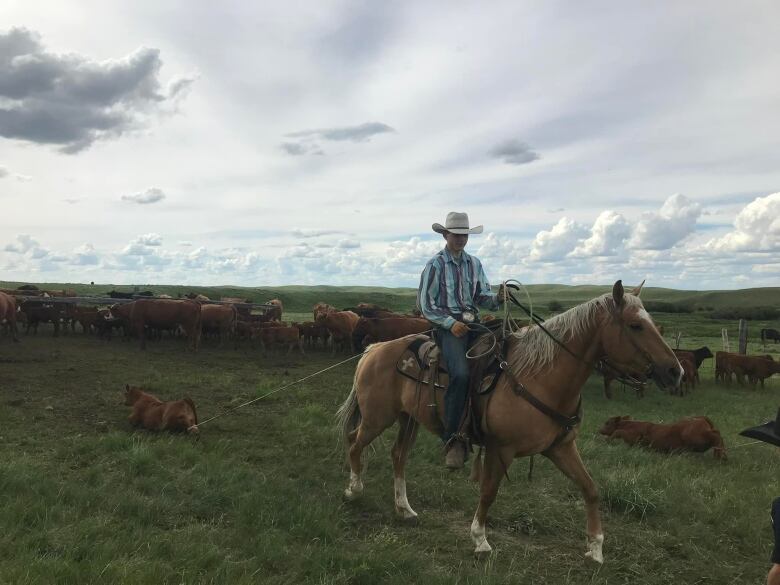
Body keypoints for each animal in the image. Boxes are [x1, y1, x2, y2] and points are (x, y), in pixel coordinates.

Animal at [336, 280, 684, 564]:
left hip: (408, 419)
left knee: (398, 456)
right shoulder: (500, 449)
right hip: (378, 417)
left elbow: (591, 488)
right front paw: (480, 540)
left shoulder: (561, 448)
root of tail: (375, 349)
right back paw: (353, 489)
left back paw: (404, 509)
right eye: (636, 325)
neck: (541, 377)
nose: (675, 371)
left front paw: (596, 547)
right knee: (354, 443)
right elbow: (489, 491)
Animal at [600, 412, 728, 458]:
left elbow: (618, 432)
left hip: (696, 439)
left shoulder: (632, 438)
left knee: (717, 435)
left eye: (607, 423)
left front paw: (608, 440)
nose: (599, 430)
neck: (629, 424)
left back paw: (720, 454)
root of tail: (700, 418)